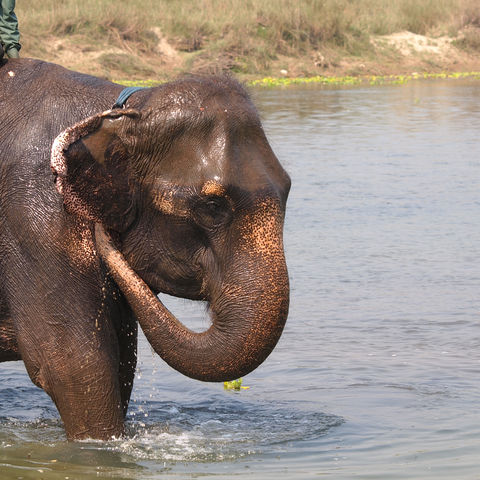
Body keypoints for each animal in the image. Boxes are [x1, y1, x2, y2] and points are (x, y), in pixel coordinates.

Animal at [0, 58, 290, 440]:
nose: (104, 235)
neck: (121, 113)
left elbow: (122, 362)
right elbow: (75, 366)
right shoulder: (32, 222)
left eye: (288, 188)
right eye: (212, 206)